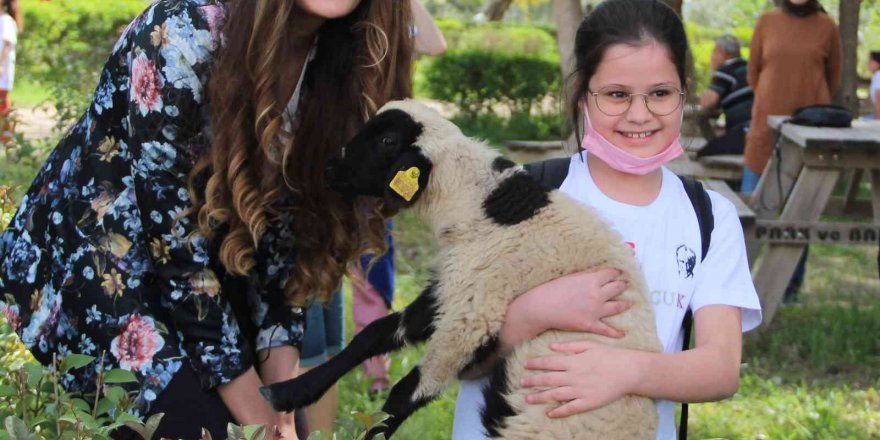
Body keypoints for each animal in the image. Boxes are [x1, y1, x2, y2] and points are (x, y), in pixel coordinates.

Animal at [262, 99, 660, 440]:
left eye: (388, 141)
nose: (329, 169)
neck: (478, 203)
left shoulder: (474, 313)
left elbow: (407, 393)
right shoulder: (455, 285)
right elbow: (375, 334)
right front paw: (287, 392)